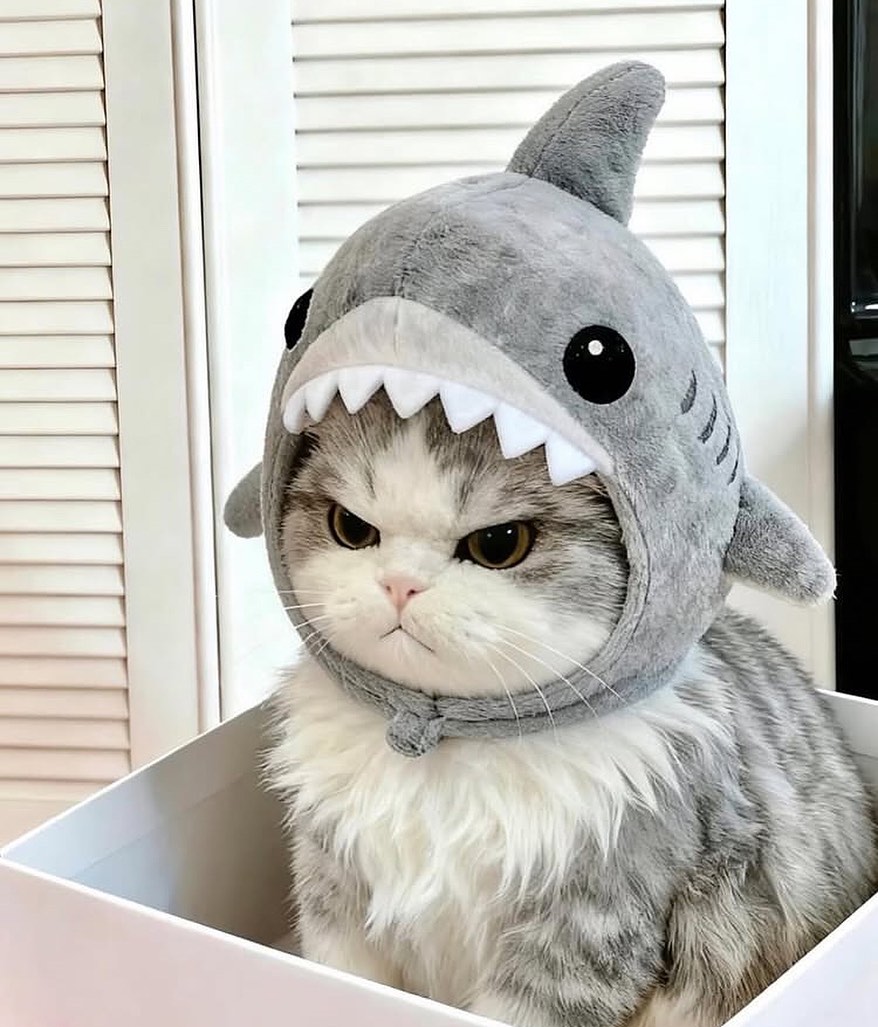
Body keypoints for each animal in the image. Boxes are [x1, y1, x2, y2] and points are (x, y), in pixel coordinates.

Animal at [269, 391, 877, 1027]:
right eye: (351, 528)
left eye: (499, 544)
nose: (399, 585)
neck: (446, 746)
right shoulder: (334, 899)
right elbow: (343, 976)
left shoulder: (581, 936)